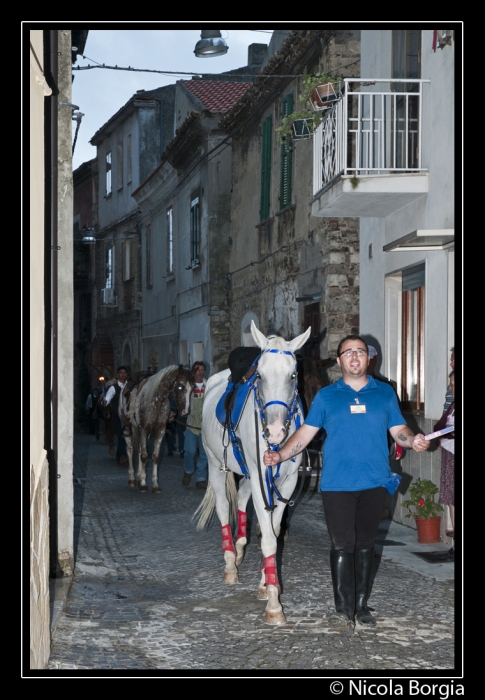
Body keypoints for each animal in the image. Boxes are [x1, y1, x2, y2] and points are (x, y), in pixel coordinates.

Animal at [194, 322, 310, 624]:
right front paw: (274, 604)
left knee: (243, 498)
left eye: (293, 374)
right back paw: (230, 563)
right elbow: (268, 539)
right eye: (260, 374)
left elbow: (275, 533)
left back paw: (239, 548)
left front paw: (266, 583)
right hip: (215, 464)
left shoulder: (286, 483)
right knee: (224, 508)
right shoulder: (261, 479)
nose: (276, 432)